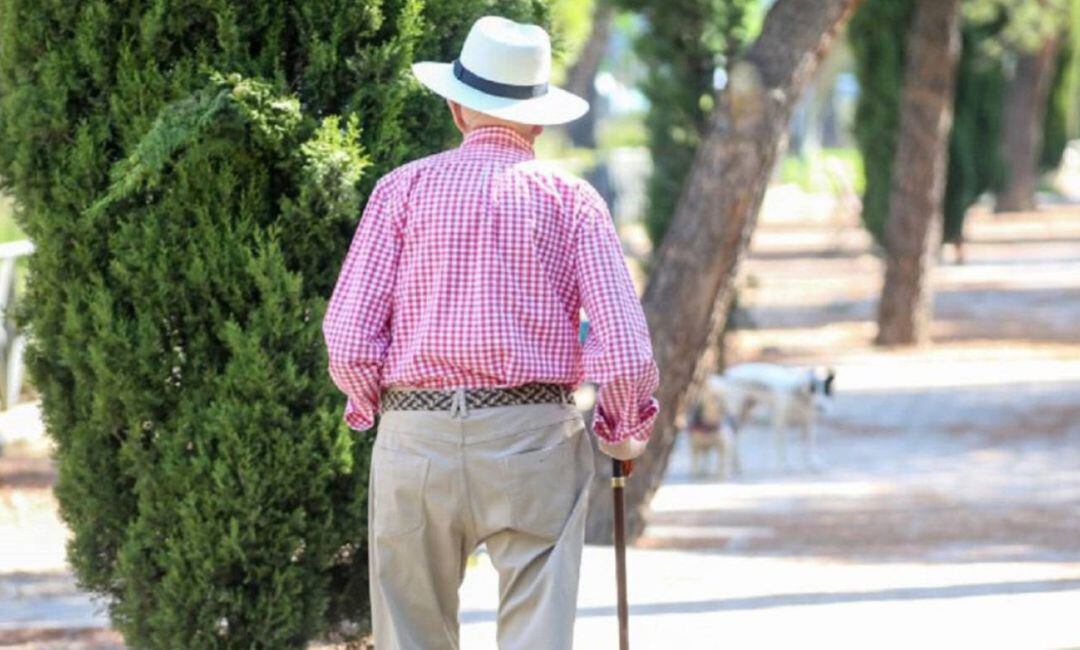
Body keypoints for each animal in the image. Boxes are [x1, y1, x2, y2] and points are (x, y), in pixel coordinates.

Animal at [691, 358, 833, 475]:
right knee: (733, 439)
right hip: (735, 413)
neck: (799, 396)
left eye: (825, 390)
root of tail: (727, 375)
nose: (821, 407)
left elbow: (809, 447)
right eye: (813, 389)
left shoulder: (809, 425)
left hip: (745, 415)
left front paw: (813, 464)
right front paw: (785, 465)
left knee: (735, 440)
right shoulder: (780, 424)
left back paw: (737, 466)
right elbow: (782, 448)